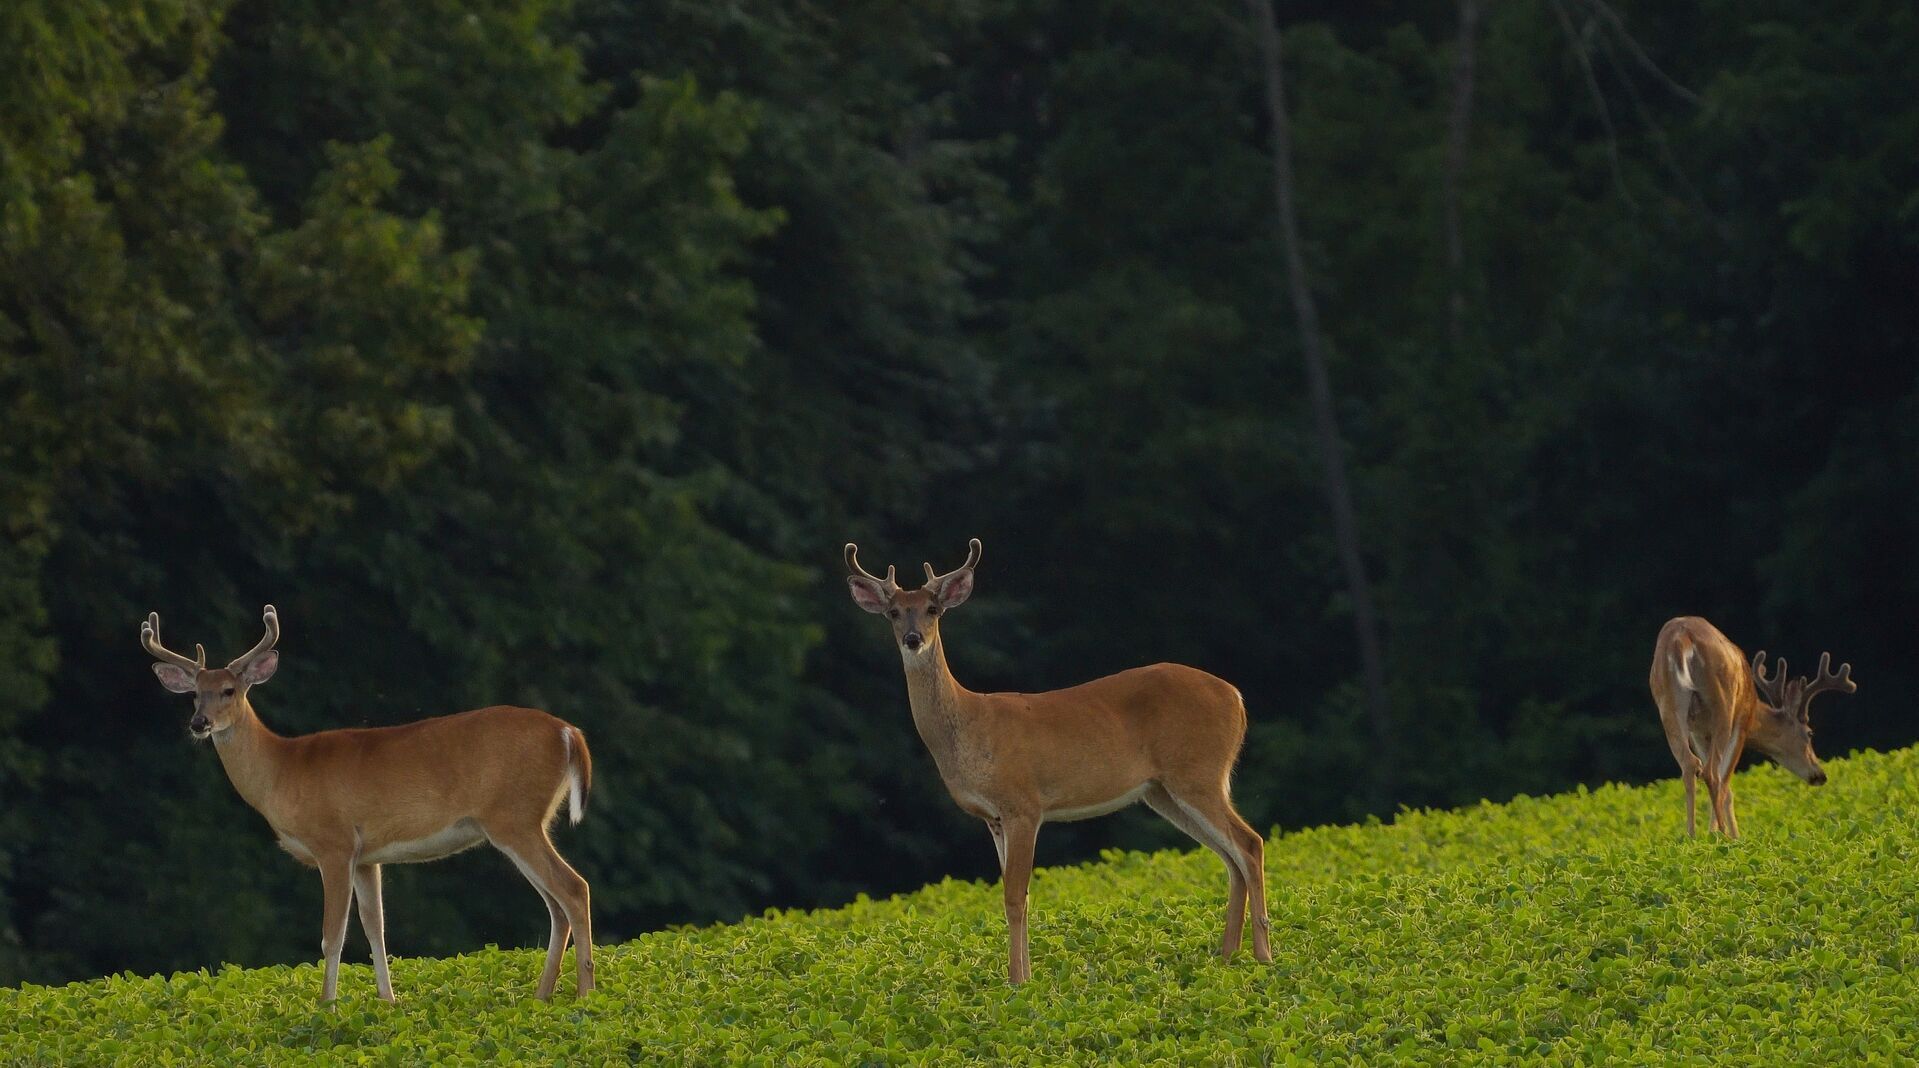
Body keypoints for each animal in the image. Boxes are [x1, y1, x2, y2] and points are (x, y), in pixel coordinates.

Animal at [140, 604, 595, 1002]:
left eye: (229, 690)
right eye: (194, 694)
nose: (199, 723)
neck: (282, 771)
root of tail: (570, 733)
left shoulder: (335, 843)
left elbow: (333, 935)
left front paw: (326, 1005)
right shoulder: (367, 857)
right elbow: (376, 928)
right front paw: (388, 1000)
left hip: (514, 817)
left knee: (574, 888)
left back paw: (585, 995)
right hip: (523, 821)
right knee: (556, 904)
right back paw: (542, 996)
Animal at [845, 538, 1271, 984]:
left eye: (933, 608)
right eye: (894, 612)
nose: (913, 638)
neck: (969, 725)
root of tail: (1236, 697)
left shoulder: (1023, 804)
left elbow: (1015, 897)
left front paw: (1017, 980)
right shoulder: (993, 818)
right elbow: (1019, 897)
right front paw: (1026, 976)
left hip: (1198, 771)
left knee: (1249, 843)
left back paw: (1263, 956)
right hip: (1164, 790)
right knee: (1231, 857)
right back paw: (1227, 957)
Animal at [1650, 616, 1856, 838]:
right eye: (1810, 733)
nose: (1820, 775)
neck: (1754, 707)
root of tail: (1681, 638)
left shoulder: (1698, 732)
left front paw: (1719, 832)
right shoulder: (1741, 723)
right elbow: (1726, 784)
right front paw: (1733, 836)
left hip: (1668, 704)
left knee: (1690, 764)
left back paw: (1691, 836)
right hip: (1723, 703)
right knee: (1711, 773)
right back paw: (1721, 834)